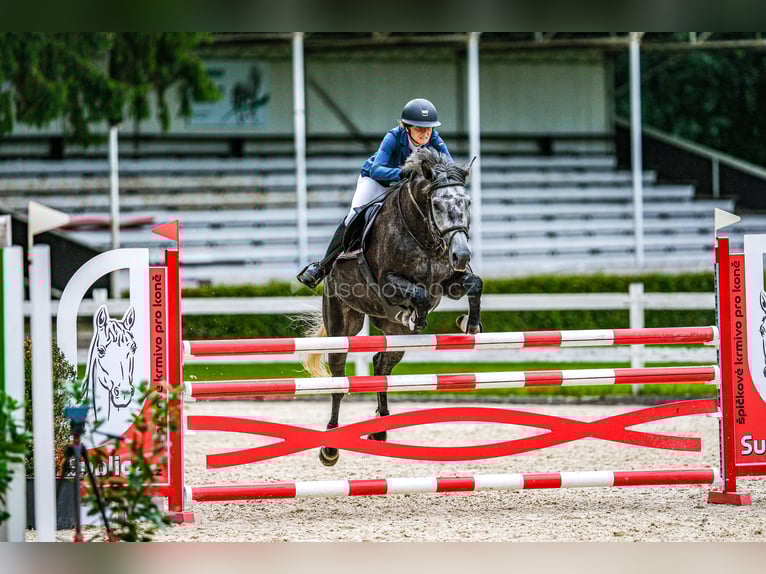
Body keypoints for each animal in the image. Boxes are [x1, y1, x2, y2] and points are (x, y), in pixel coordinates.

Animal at [303, 147, 483, 466]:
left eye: (467, 202)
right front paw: (416, 315)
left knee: (381, 365)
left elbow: (475, 283)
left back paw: (380, 428)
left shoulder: (449, 281)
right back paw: (330, 446)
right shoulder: (388, 282)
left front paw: (470, 324)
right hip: (342, 324)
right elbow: (420, 296)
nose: (461, 255)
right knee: (339, 379)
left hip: (396, 336)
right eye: (436, 204)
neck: (424, 236)